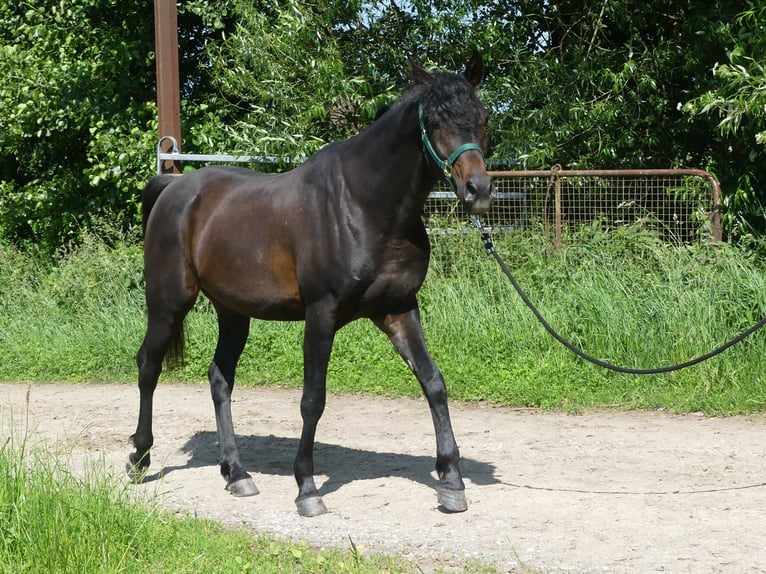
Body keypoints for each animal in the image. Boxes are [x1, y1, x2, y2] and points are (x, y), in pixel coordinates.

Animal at [129, 52, 494, 516]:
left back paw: (236, 473)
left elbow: (434, 383)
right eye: (434, 121)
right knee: (148, 366)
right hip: (168, 303)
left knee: (219, 378)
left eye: (482, 118)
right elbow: (313, 399)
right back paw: (139, 458)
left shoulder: (398, 308)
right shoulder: (321, 314)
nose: (477, 190)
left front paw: (451, 480)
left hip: (234, 313)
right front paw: (306, 487)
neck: (364, 204)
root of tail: (173, 189)